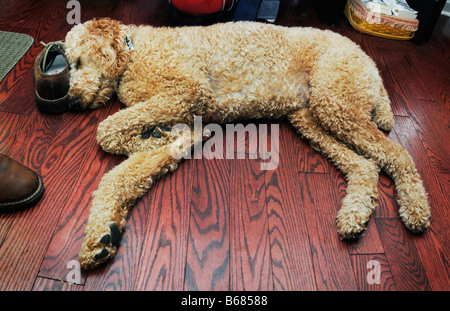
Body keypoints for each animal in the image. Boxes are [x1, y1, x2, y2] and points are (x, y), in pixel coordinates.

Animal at [64, 17, 432, 270]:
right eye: (67, 65)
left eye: (78, 62)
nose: (71, 100)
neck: (133, 49)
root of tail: (369, 61)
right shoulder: (183, 111)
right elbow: (118, 177)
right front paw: (102, 236)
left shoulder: (188, 92)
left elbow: (107, 130)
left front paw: (154, 138)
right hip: (315, 117)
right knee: (366, 165)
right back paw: (354, 215)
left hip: (335, 102)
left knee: (398, 155)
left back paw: (416, 208)